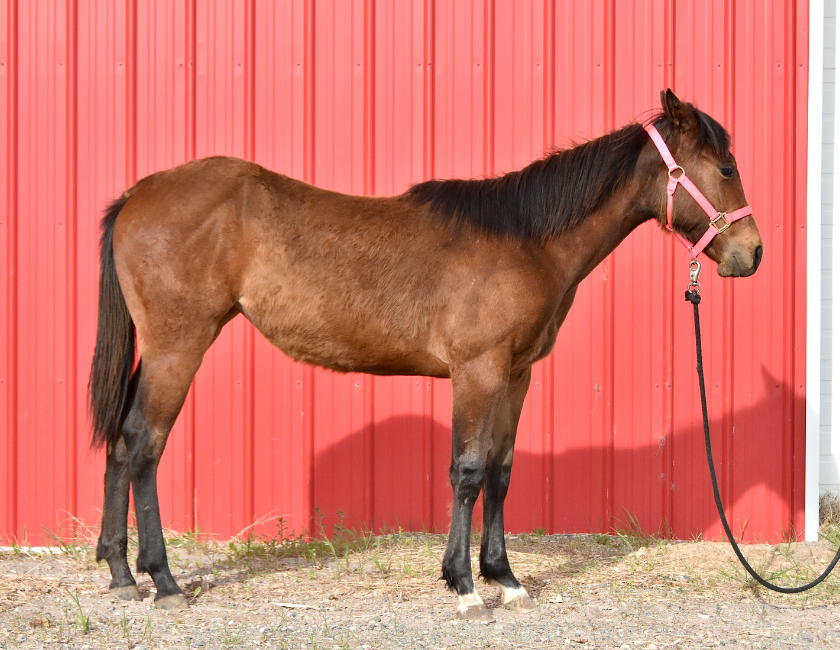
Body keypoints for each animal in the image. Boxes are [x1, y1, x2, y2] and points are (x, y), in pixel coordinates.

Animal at [89, 90, 762, 621]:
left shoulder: (515, 375)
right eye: (727, 166)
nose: (751, 254)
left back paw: (120, 576)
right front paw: (463, 586)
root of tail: (135, 196)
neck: (526, 240)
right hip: (179, 346)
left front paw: (504, 578)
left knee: (121, 443)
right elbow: (467, 472)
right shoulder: (477, 372)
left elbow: (501, 471)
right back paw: (164, 581)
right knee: (144, 445)